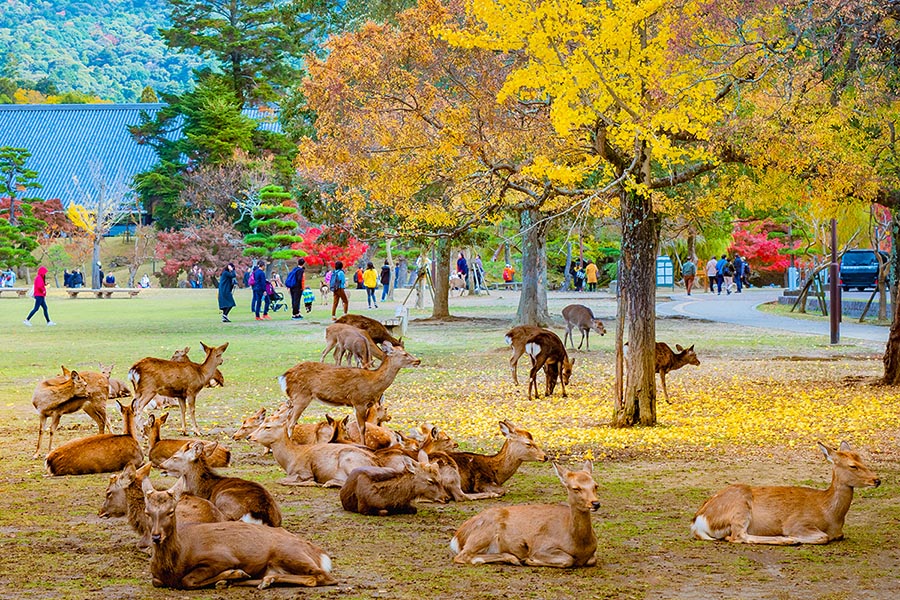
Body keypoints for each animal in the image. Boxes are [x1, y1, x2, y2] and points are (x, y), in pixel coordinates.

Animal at [142, 477, 336, 589]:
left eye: (171, 511)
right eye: (147, 512)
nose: (156, 537)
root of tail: (322, 555)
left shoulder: (221, 557)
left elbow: (187, 580)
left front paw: (233, 573)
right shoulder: (157, 577)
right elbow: (156, 581)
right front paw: (232, 576)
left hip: (290, 552)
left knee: (323, 577)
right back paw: (262, 581)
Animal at [248, 415, 379, 487]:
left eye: (268, 427)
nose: (249, 436)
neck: (289, 460)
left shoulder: (304, 471)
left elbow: (281, 480)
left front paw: (313, 483)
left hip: (349, 461)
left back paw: (328, 483)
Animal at [279, 341, 420, 445]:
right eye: (405, 354)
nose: (418, 361)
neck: (373, 383)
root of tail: (284, 377)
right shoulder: (359, 401)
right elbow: (362, 428)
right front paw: (363, 445)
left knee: (288, 420)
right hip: (301, 396)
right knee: (290, 423)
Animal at [450, 461, 600, 567]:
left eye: (595, 485)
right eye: (575, 488)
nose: (596, 503)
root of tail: (457, 536)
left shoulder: (592, 555)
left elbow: (593, 560)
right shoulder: (542, 547)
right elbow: (567, 559)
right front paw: (530, 560)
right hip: (482, 533)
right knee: (462, 556)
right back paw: (515, 559)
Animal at [691, 442, 881, 545]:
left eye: (861, 458)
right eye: (852, 466)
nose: (877, 480)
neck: (829, 514)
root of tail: (698, 522)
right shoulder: (797, 523)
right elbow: (823, 537)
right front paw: (792, 537)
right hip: (739, 507)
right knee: (737, 536)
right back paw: (787, 540)